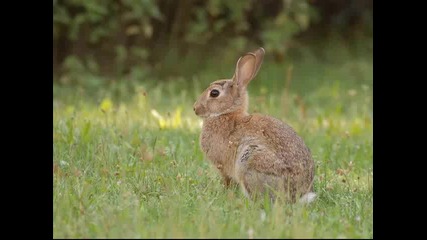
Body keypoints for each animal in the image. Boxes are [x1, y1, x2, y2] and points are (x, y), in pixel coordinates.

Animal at [192, 47, 316, 202]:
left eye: (214, 93)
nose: (195, 108)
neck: (227, 113)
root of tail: (297, 195)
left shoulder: (223, 166)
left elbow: (227, 181)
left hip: (249, 160)